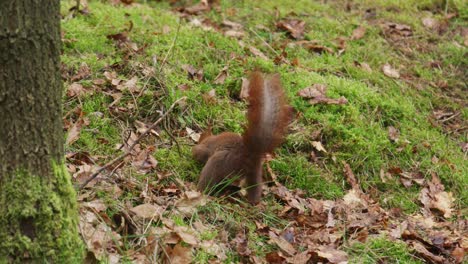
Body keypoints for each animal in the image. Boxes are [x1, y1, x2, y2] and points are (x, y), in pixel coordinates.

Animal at [192, 71, 290, 204]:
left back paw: (198, 189)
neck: (210, 139)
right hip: (251, 172)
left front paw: (192, 153)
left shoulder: (205, 148)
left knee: (208, 180)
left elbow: (198, 152)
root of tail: (250, 155)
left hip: (220, 161)